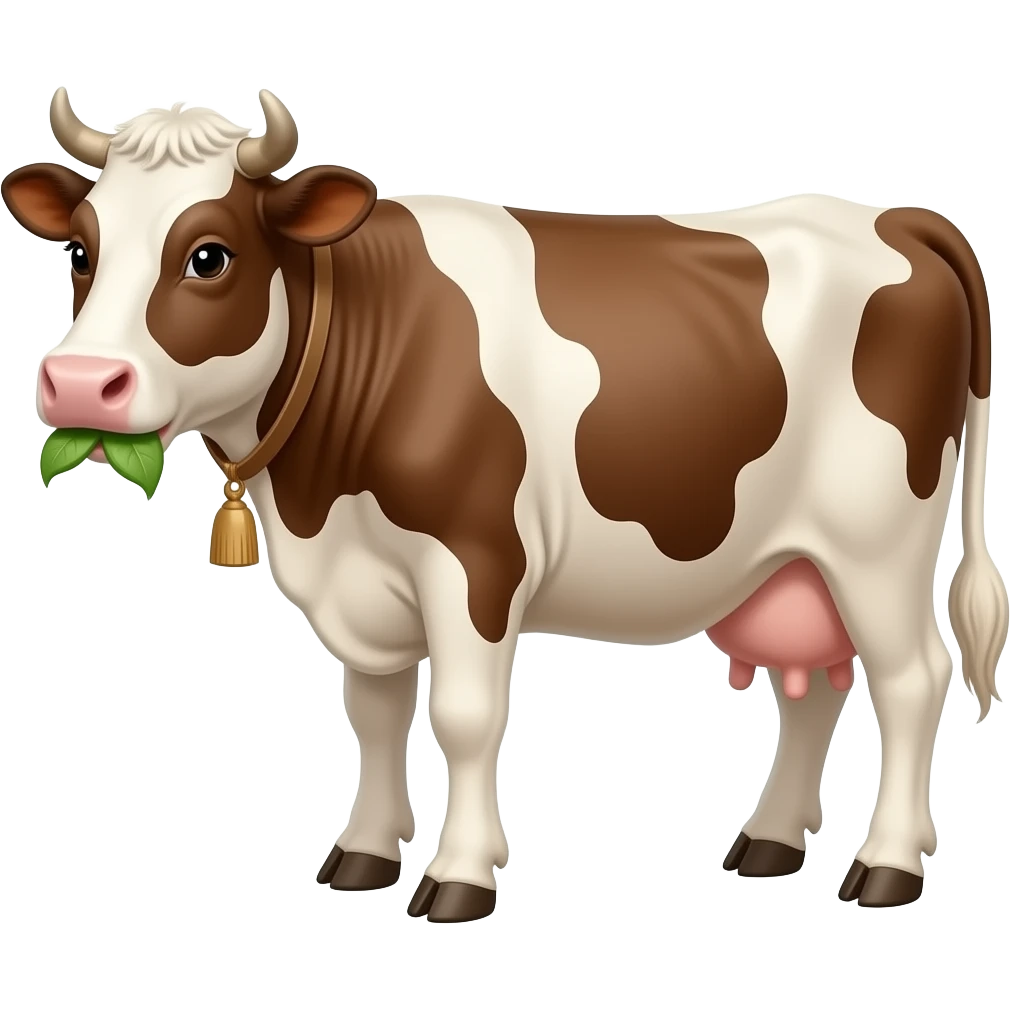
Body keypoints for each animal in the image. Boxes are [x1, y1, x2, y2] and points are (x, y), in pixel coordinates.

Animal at [9, 88, 1006, 921]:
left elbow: (464, 715)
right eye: (81, 252)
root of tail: (894, 215)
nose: (79, 383)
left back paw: (887, 866)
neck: (318, 495)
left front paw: (458, 878)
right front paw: (364, 856)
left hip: (878, 543)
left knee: (912, 680)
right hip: (801, 559)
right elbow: (373, 710)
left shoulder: (475, 557)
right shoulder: (364, 578)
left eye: (208, 256)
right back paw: (768, 842)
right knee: (822, 685)